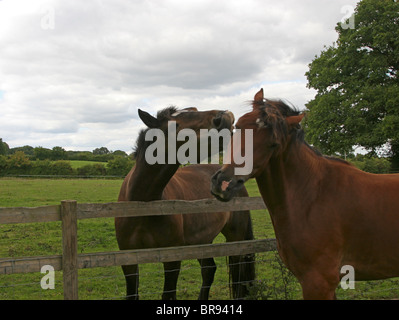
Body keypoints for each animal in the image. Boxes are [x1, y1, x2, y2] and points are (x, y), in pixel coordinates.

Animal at [115, 105, 255, 300]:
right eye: (175, 125)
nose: (225, 117)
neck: (144, 203)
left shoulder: (172, 259)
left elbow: (168, 295)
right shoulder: (128, 261)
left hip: (235, 238)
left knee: (238, 273)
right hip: (202, 240)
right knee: (209, 269)